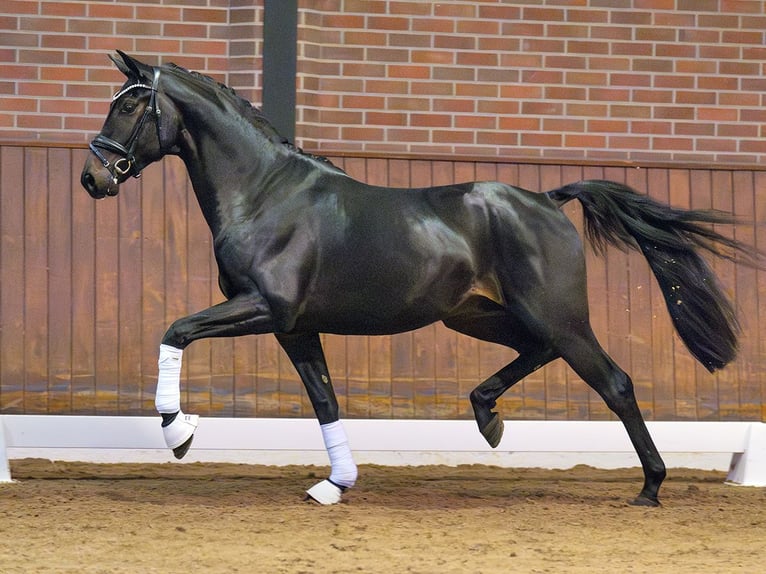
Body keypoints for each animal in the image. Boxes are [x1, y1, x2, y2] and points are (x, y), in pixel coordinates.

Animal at [81, 50, 760, 508]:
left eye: (130, 103)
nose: (93, 178)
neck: (265, 193)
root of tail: (547, 198)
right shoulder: (294, 327)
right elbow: (324, 399)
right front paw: (336, 484)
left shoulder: (265, 308)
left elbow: (175, 330)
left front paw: (178, 433)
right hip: (481, 316)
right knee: (537, 352)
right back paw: (488, 418)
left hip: (558, 316)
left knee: (615, 383)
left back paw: (650, 486)